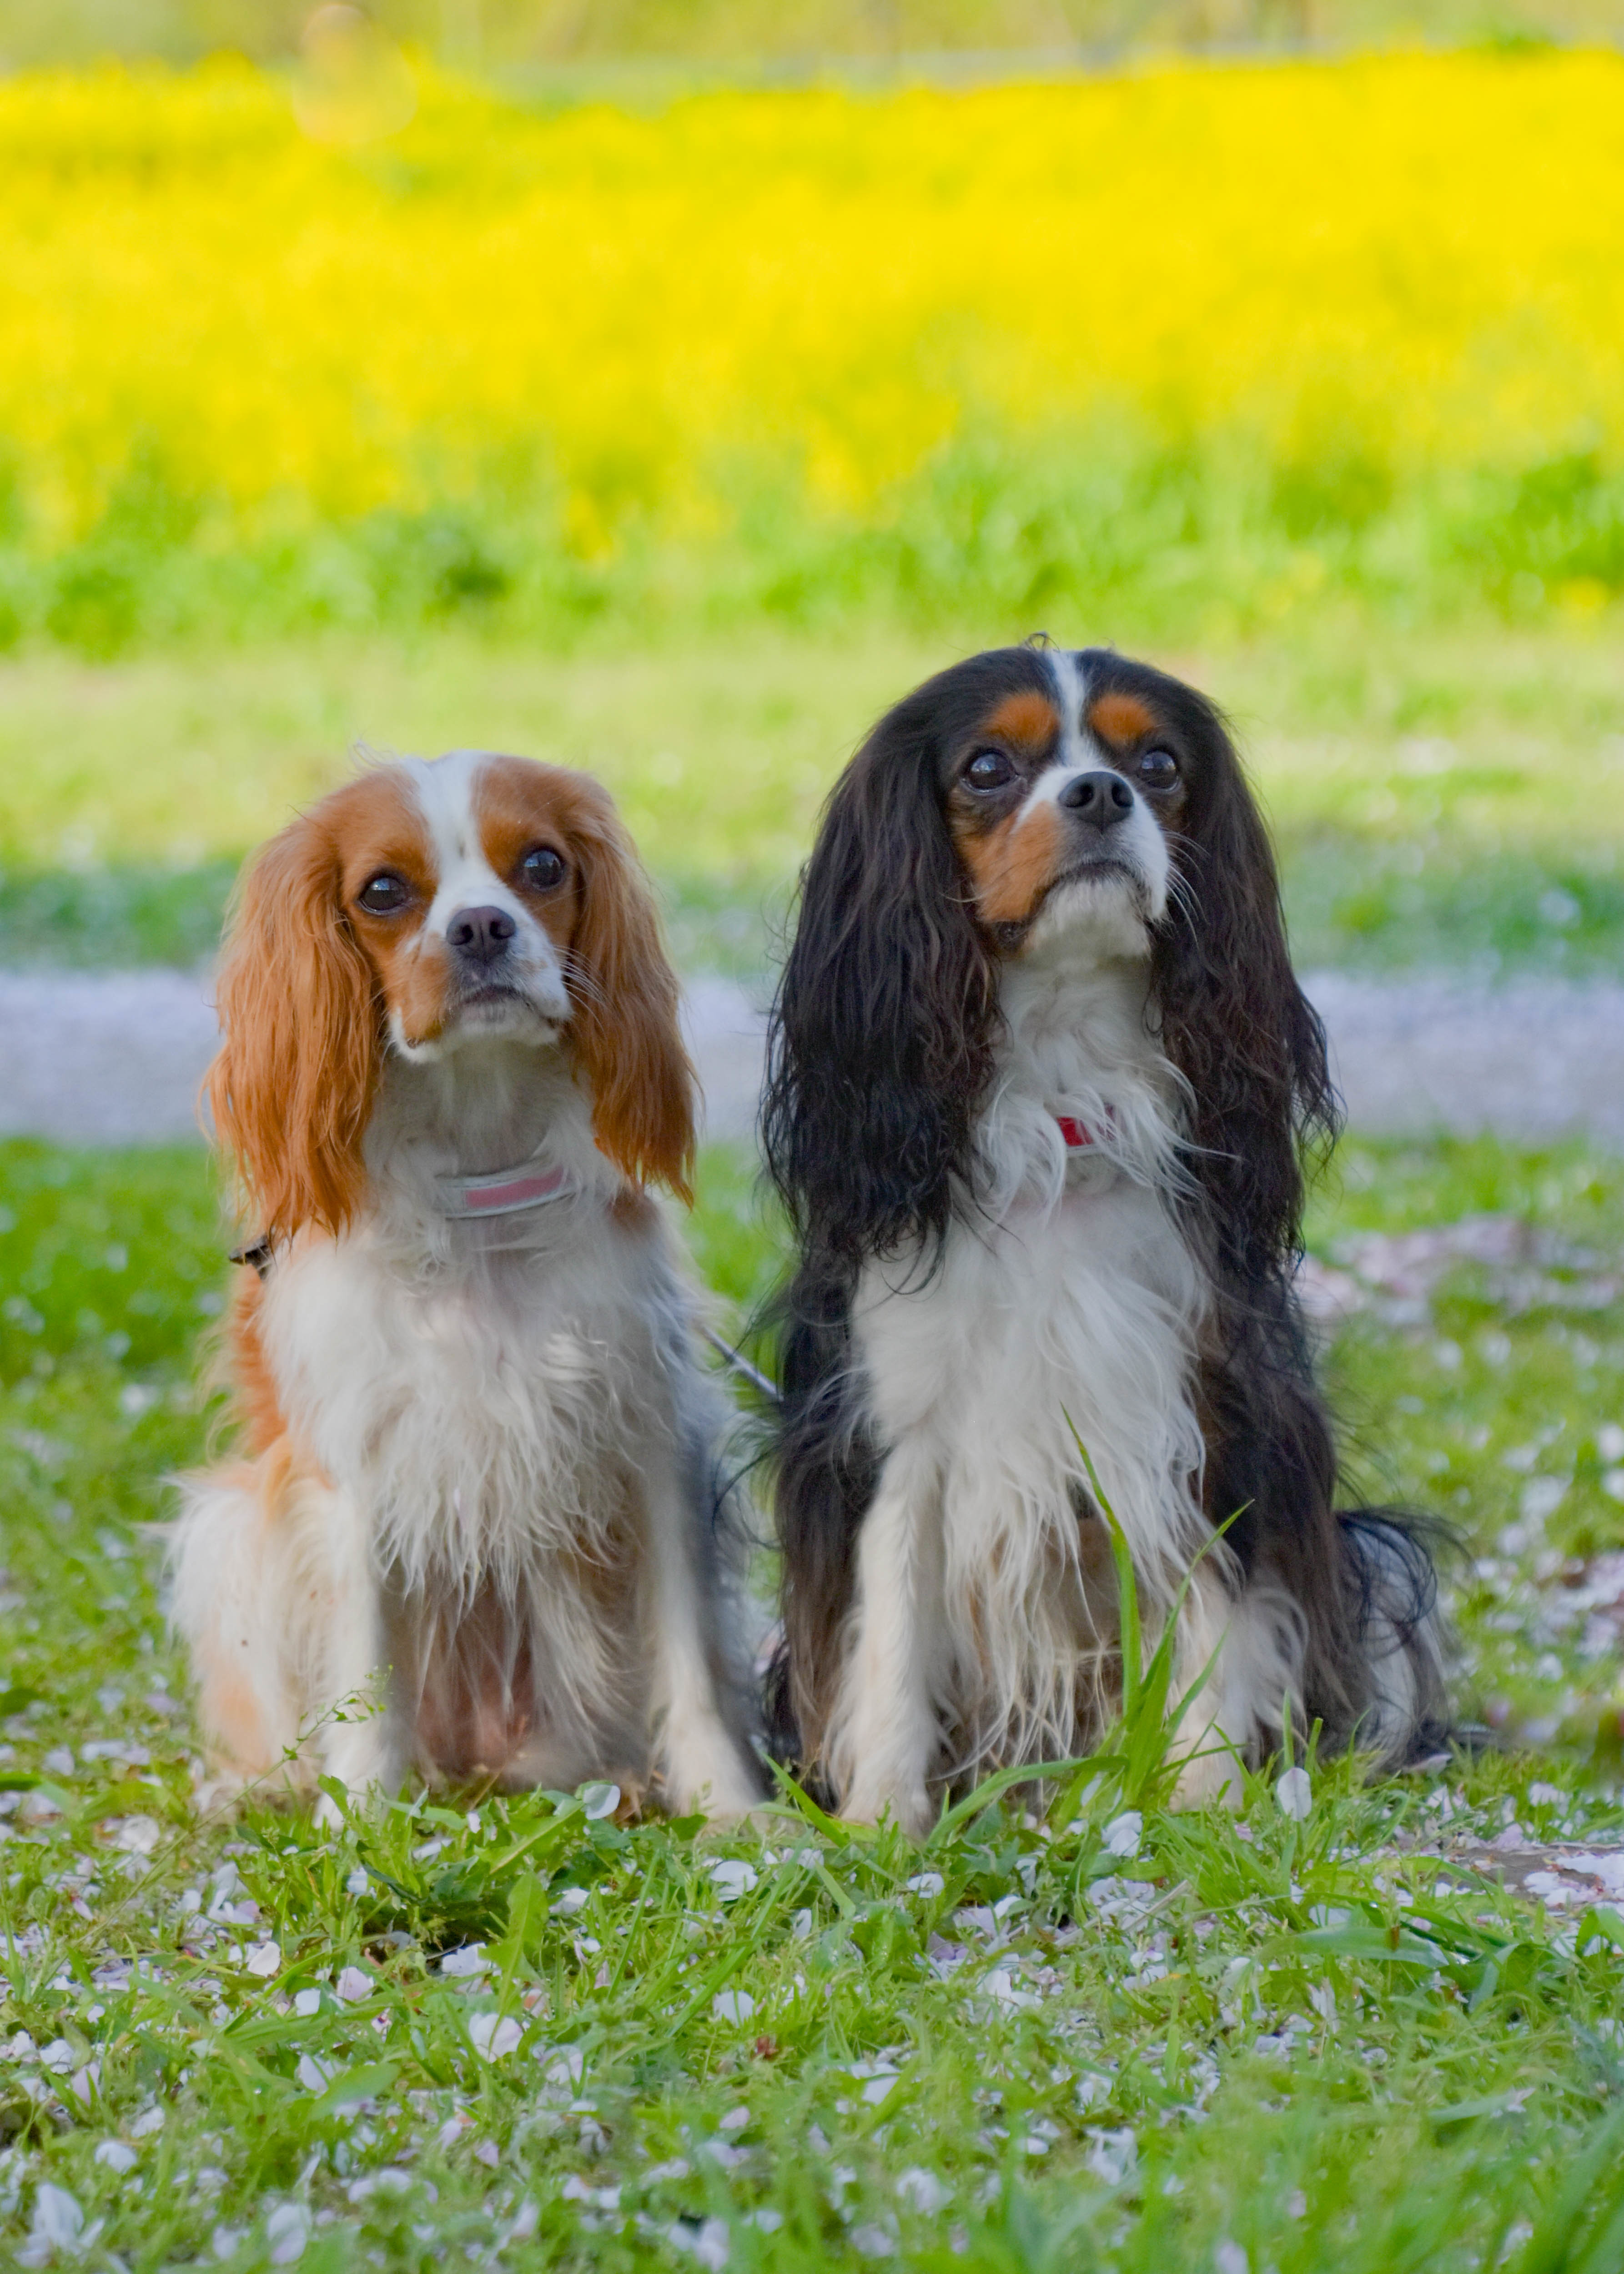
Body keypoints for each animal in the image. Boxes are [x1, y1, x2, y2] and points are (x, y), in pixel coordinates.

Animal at [174, 755, 755, 1819]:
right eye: (382, 891)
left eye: (543, 865)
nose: (483, 926)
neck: (482, 1168)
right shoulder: (357, 1466)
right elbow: (366, 1666)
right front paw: (359, 1820)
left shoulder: (652, 1437)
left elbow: (690, 1659)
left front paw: (732, 1806)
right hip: (231, 1529)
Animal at [750, 641, 1437, 1828]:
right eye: (987, 767)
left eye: (1157, 763)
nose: (1102, 794)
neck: (1063, 1107)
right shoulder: (892, 1429)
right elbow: (890, 1638)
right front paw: (885, 1824)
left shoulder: (1199, 1405)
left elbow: (1212, 1617)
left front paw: (1204, 1807)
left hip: (1374, 1560)